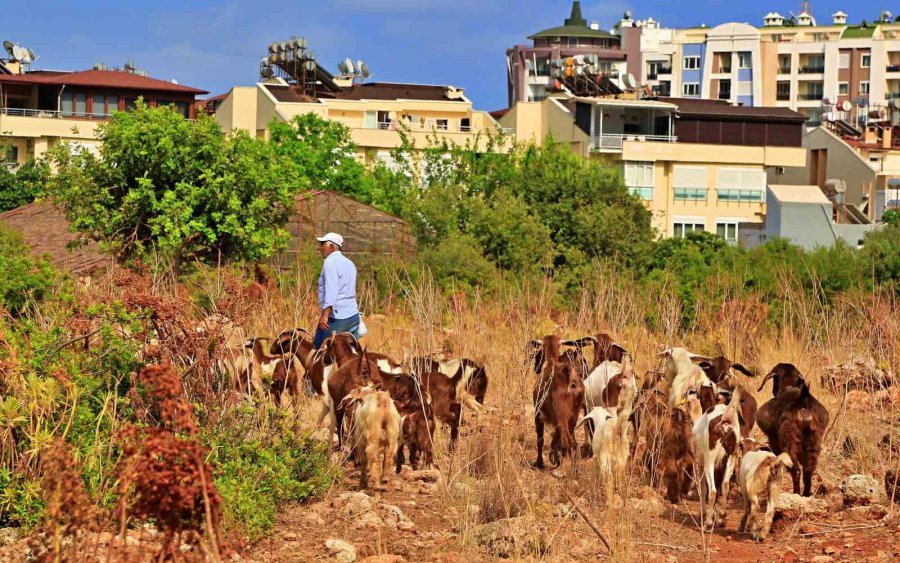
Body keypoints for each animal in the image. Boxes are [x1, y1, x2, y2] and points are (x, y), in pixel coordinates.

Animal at [532, 338, 588, 470]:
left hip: (560, 416)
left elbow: (540, 440)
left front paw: (540, 462)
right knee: (573, 442)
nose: (536, 369)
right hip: (572, 416)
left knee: (568, 441)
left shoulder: (538, 415)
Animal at [692, 386, 740, 532]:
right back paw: (722, 519)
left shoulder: (699, 465)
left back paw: (707, 525)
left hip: (709, 461)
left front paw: (705, 514)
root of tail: (725, 425)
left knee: (712, 491)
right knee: (725, 486)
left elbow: (704, 489)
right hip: (731, 459)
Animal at [756, 366, 828, 494]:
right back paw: (806, 494)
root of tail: (803, 405)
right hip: (814, 443)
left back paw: (796, 492)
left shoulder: (775, 443)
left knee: (796, 470)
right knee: (808, 470)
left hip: (789, 445)